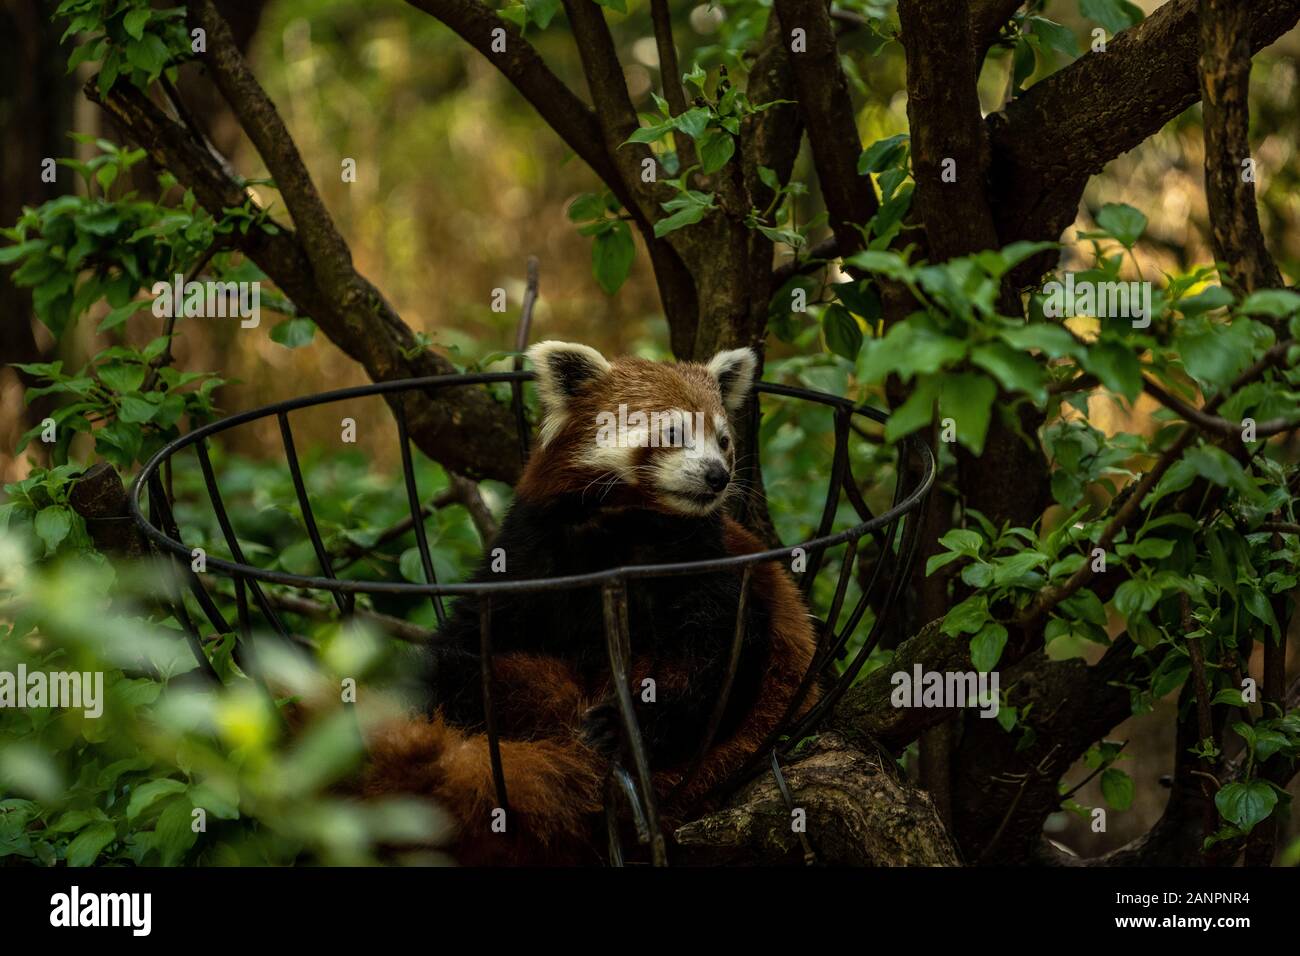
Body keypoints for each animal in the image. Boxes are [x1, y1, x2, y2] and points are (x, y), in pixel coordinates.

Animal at [361, 343, 816, 868]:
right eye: (674, 433)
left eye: (723, 441)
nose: (718, 476)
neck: (621, 521)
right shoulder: (532, 546)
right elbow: (476, 626)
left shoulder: (706, 561)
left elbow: (720, 658)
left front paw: (625, 729)